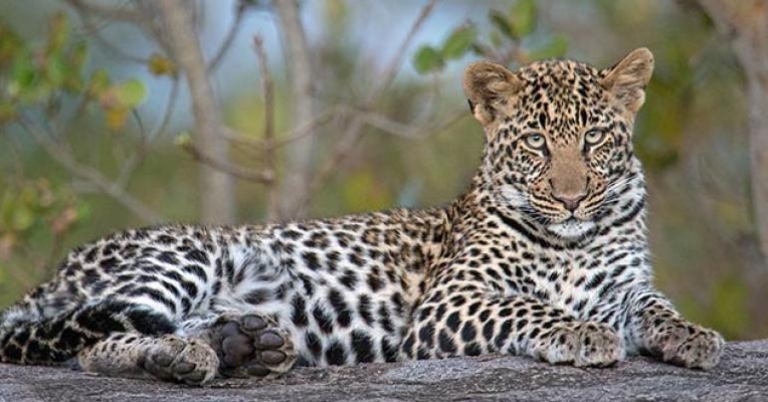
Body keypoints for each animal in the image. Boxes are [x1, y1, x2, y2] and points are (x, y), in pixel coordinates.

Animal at [0, 48, 724, 385]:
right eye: (537, 145)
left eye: (595, 140)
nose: (573, 198)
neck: (573, 241)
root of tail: (55, 272)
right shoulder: (450, 302)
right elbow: (529, 306)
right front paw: (581, 333)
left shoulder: (625, 285)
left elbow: (654, 305)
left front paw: (693, 337)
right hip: (182, 256)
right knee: (89, 344)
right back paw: (182, 357)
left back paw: (244, 345)